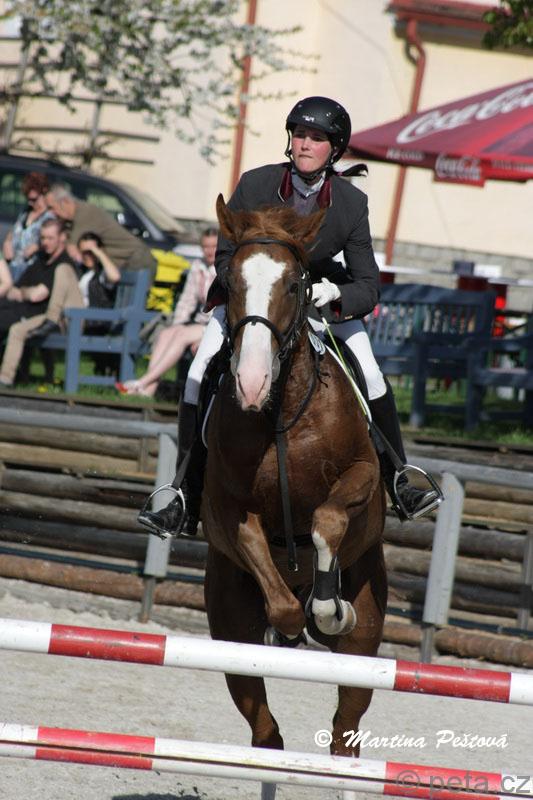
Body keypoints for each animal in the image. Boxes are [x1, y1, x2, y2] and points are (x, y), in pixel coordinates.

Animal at [202, 195, 387, 796]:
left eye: (296, 284)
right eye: (230, 280)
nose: (250, 384)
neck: (283, 409)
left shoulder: (362, 475)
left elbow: (327, 519)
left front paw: (330, 609)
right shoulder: (228, 510)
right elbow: (279, 599)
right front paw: (292, 620)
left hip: (365, 645)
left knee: (346, 735)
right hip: (228, 634)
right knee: (266, 734)